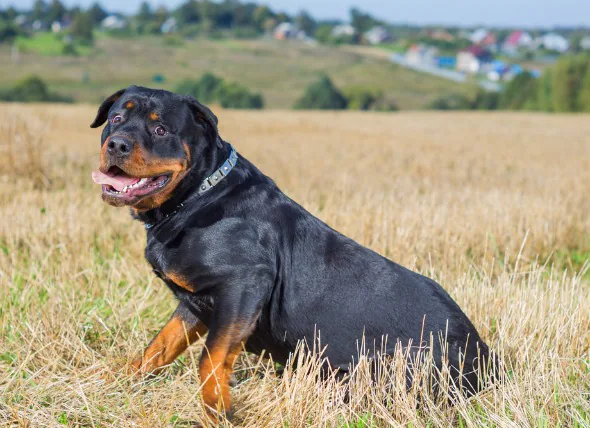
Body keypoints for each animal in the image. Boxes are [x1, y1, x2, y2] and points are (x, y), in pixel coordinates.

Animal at [89, 85, 494, 420]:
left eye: (160, 130)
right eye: (116, 119)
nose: (117, 144)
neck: (197, 196)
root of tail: (487, 361)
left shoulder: (243, 286)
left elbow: (211, 359)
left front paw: (218, 410)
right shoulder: (194, 303)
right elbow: (157, 348)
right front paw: (118, 382)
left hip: (385, 370)